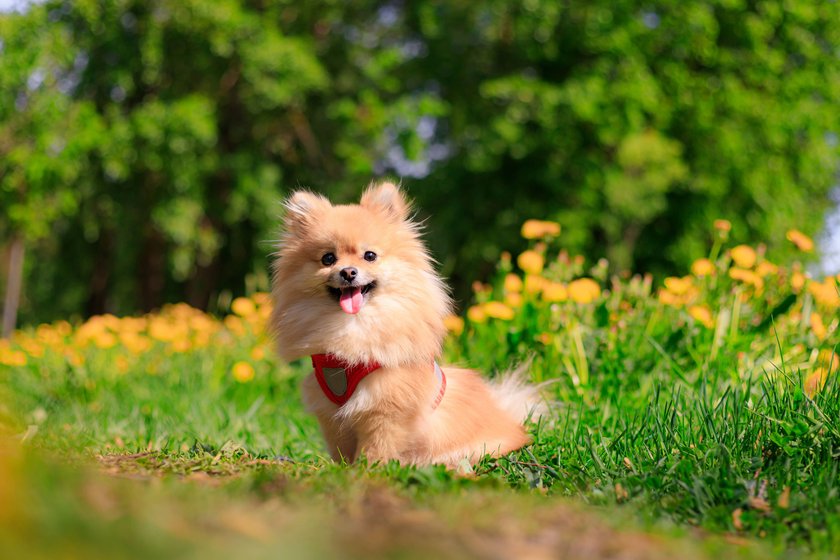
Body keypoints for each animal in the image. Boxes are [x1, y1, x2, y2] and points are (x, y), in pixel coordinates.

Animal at [272, 182, 540, 466]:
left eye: (369, 256)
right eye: (328, 259)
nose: (348, 272)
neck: (353, 327)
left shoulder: (387, 409)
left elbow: (376, 448)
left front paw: (367, 469)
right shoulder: (331, 413)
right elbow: (341, 448)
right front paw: (343, 468)